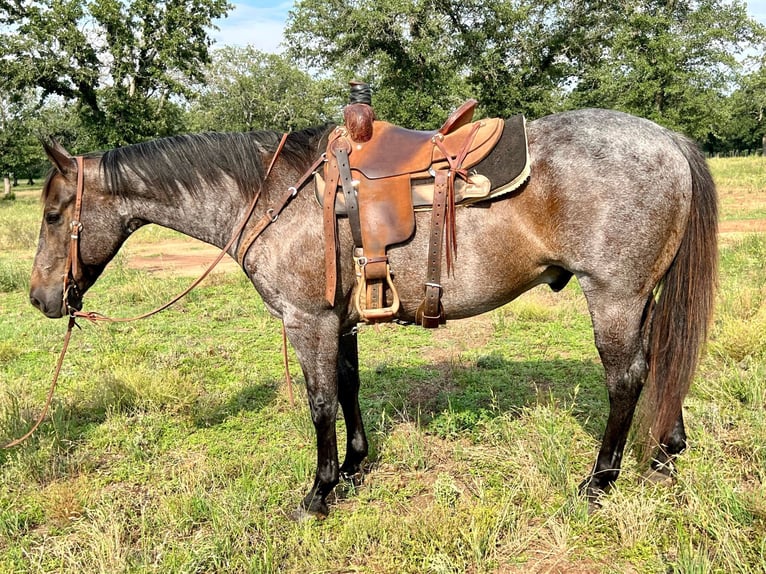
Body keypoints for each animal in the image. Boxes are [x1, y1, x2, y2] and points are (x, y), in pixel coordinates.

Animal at [29, 108, 718, 518]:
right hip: (641, 298)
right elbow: (349, 387)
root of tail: (667, 138)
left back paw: (600, 481)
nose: (40, 299)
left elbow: (320, 403)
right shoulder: (340, 319)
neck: (276, 196)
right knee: (660, 365)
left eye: (55, 214)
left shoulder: (307, 319)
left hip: (614, 296)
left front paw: (319, 492)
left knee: (626, 379)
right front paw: (356, 468)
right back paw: (664, 452)